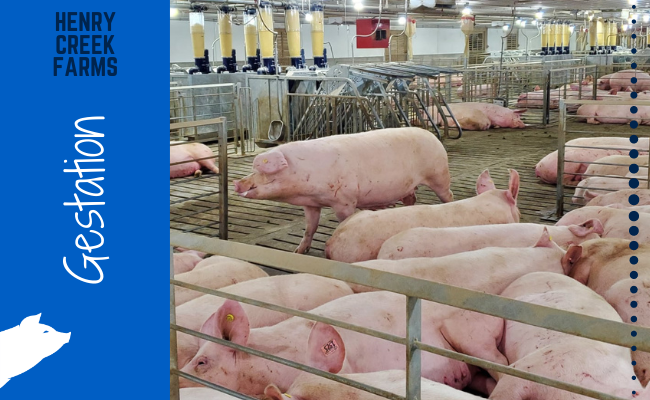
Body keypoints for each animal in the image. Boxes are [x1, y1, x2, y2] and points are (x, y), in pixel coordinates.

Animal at [232, 128, 454, 254]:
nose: (237, 183)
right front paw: (298, 251)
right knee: (411, 198)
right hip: (409, 186)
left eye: (262, 170)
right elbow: (310, 228)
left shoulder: (345, 200)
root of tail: (432, 136)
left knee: (448, 196)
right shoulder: (311, 204)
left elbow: (344, 221)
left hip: (439, 175)